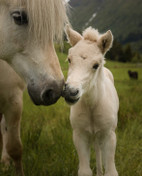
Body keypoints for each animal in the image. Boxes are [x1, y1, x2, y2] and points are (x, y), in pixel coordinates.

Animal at [62, 26, 119, 176]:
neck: (91, 105)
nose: (70, 91)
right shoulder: (79, 135)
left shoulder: (109, 136)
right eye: (69, 59)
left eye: (96, 65)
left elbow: (111, 171)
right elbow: (85, 171)